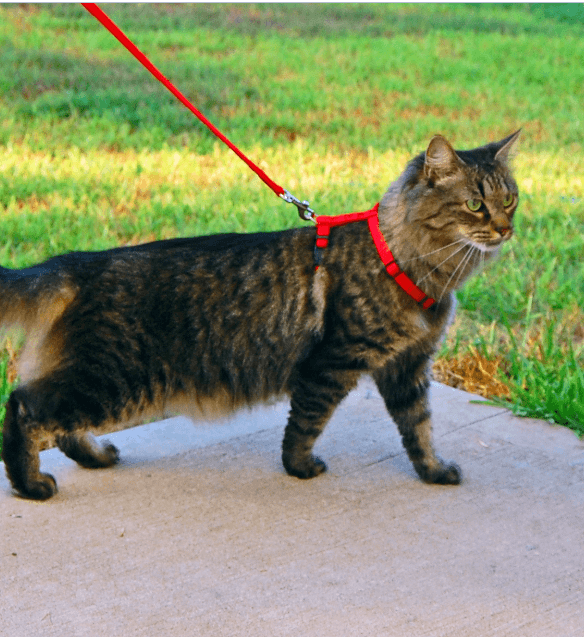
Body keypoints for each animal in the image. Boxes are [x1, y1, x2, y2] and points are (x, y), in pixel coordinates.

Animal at [0, 132, 520, 500]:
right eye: (475, 204)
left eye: (510, 199)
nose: (505, 229)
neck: (413, 265)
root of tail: (77, 263)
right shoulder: (331, 364)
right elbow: (305, 424)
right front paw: (300, 468)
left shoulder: (407, 366)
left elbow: (420, 428)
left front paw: (433, 471)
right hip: (115, 379)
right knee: (25, 405)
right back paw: (31, 485)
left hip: (103, 380)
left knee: (60, 424)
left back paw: (95, 457)